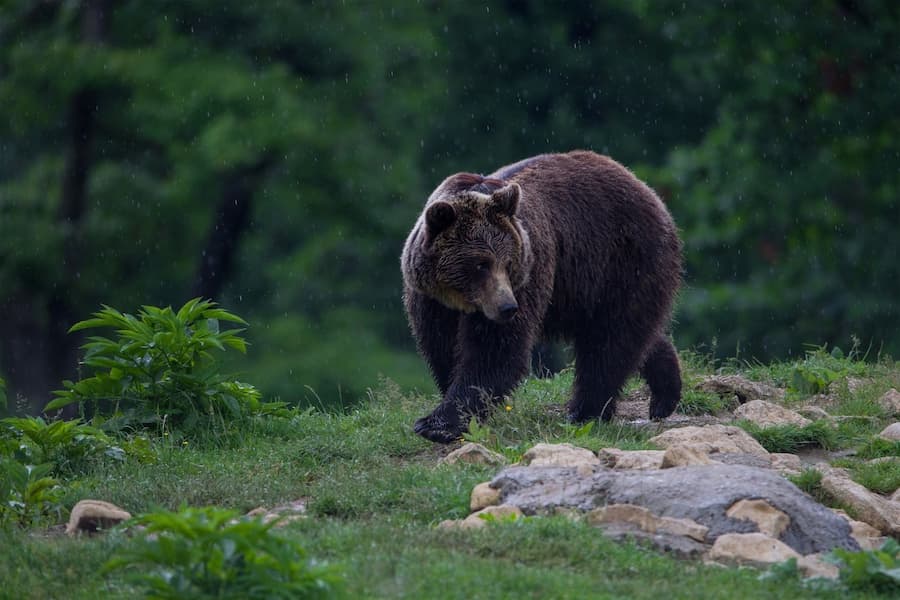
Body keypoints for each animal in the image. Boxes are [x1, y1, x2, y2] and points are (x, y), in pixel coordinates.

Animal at [401, 150, 682, 443]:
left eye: (508, 263)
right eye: (481, 264)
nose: (507, 307)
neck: (461, 299)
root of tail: (646, 189)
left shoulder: (529, 272)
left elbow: (494, 352)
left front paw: (437, 424)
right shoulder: (431, 299)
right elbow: (442, 346)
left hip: (621, 260)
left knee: (610, 341)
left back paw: (585, 412)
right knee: (631, 335)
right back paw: (664, 394)